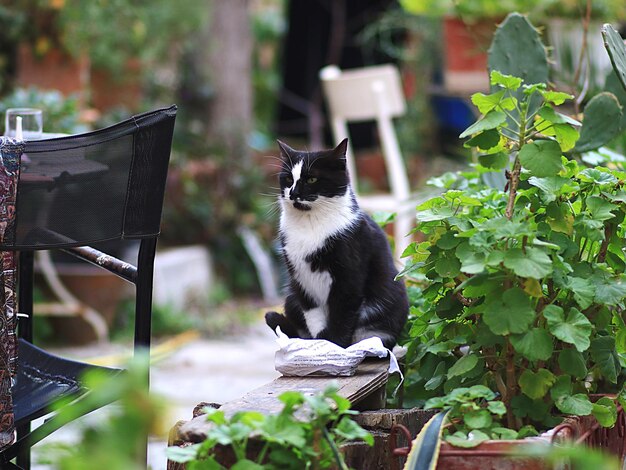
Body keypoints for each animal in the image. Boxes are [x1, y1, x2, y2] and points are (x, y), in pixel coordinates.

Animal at [264, 139, 408, 348]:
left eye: (311, 180)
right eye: (289, 179)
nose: (293, 193)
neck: (310, 223)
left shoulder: (349, 277)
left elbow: (341, 314)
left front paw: (333, 344)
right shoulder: (300, 278)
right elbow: (312, 313)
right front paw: (320, 344)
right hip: (291, 296)